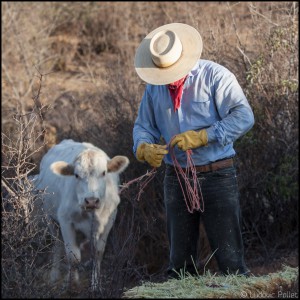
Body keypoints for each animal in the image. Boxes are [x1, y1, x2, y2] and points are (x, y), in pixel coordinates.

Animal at [33, 139, 129, 290]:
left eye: (104, 172)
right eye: (76, 175)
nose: (91, 200)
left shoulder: (108, 221)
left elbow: (97, 253)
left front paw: (95, 286)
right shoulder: (66, 221)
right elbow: (73, 257)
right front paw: (71, 286)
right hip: (50, 218)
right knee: (57, 245)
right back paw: (55, 275)